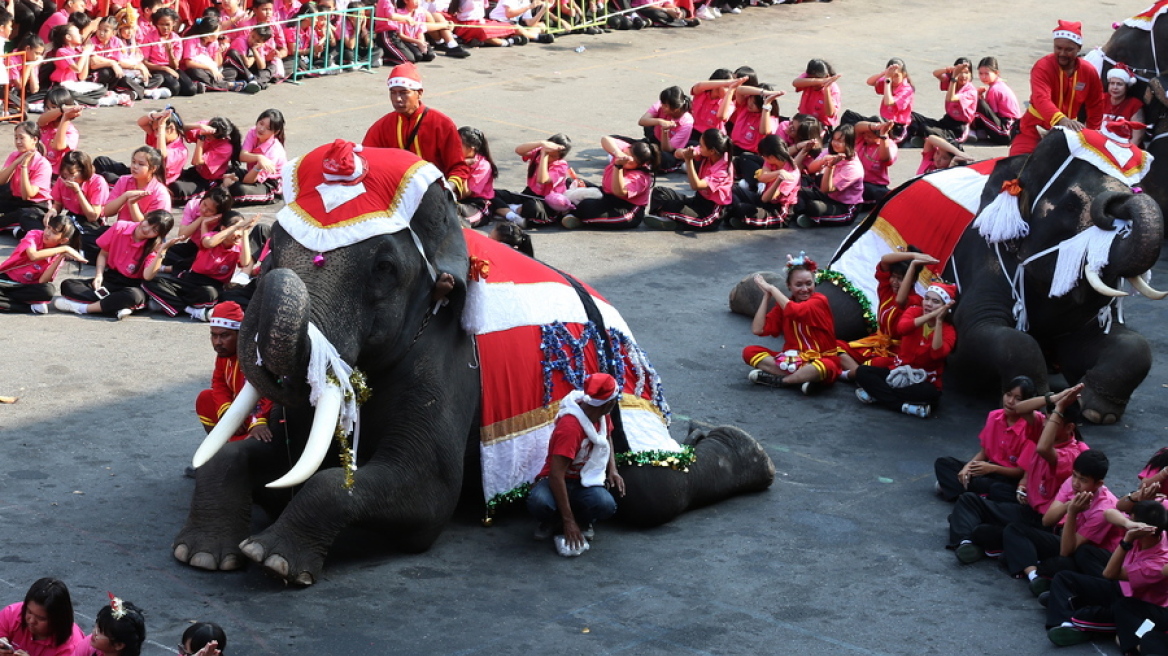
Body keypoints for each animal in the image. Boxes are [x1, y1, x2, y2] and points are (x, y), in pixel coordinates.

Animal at [172, 141, 770, 581]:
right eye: (273, 243)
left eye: (384, 269)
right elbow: (273, 457)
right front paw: (203, 556)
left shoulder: (447, 360)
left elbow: (422, 491)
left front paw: (271, 558)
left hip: (628, 403)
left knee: (654, 492)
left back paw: (747, 451)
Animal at [728, 127, 1158, 424]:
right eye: (1071, 204)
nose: (1119, 203)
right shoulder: (981, 251)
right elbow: (982, 337)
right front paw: (1032, 403)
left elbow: (1127, 344)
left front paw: (1097, 412)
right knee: (837, 310)